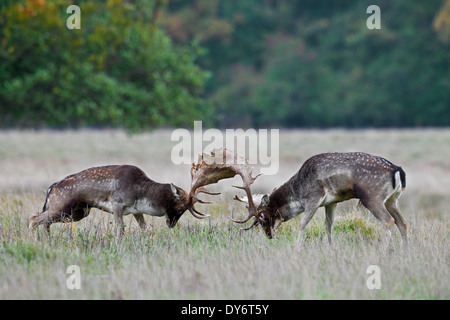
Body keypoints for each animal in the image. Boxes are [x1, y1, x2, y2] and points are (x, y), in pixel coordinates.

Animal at [28, 164, 218, 234]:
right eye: (179, 208)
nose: (171, 224)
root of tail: (51, 189)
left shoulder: (136, 211)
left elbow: (144, 228)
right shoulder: (116, 203)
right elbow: (120, 229)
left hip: (77, 212)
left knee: (44, 222)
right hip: (62, 207)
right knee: (33, 218)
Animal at [232, 152, 408, 248]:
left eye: (262, 216)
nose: (269, 235)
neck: (298, 191)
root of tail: (397, 170)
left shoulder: (313, 198)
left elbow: (303, 224)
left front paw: (297, 247)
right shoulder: (331, 202)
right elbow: (328, 226)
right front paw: (330, 248)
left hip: (371, 197)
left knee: (388, 221)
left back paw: (383, 252)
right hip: (392, 199)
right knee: (402, 222)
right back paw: (405, 252)